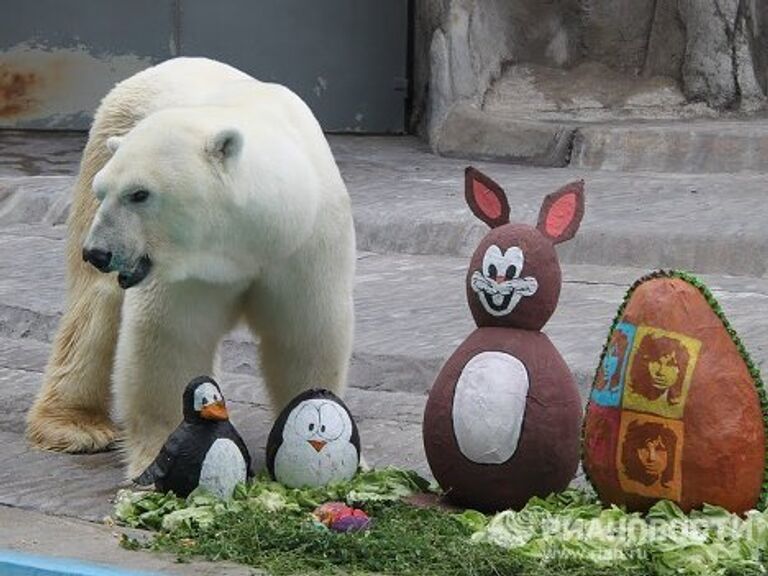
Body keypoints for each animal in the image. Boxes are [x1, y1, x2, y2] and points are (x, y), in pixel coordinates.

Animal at [25, 57, 356, 476]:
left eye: (139, 194)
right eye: (107, 191)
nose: (97, 253)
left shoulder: (303, 245)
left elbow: (305, 334)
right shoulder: (185, 269)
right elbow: (171, 337)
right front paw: (160, 458)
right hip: (103, 144)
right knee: (95, 307)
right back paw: (75, 427)